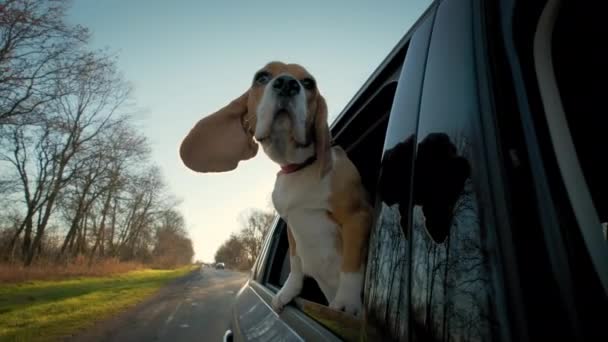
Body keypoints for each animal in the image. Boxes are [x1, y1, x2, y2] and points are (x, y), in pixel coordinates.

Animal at [178, 62, 372, 318]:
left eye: (309, 83)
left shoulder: (357, 216)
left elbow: (350, 264)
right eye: (262, 77)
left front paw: (346, 306)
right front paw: (287, 292)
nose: (288, 84)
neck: (300, 168)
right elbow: (296, 264)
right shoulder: (291, 225)